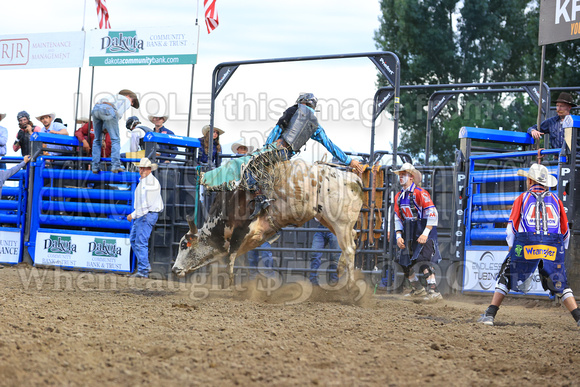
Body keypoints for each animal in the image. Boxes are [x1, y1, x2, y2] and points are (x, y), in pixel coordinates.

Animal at [171, 158, 362, 288]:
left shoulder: (241, 231)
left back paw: (350, 288)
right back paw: (340, 270)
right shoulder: (253, 238)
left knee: (349, 249)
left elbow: (231, 258)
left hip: (339, 222)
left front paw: (230, 285)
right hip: (330, 220)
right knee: (352, 239)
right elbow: (239, 259)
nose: (174, 270)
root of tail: (354, 178)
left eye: (184, 245)